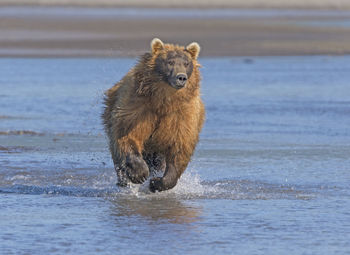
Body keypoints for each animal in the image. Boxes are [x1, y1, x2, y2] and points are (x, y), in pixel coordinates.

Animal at [102, 37, 204, 192]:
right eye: (170, 62)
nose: (181, 77)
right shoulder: (138, 107)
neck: (164, 101)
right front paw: (140, 173)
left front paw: (157, 182)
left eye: (186, 63)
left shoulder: (182, 115)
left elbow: (180, 146)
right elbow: (128, 135)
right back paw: (124, 179)